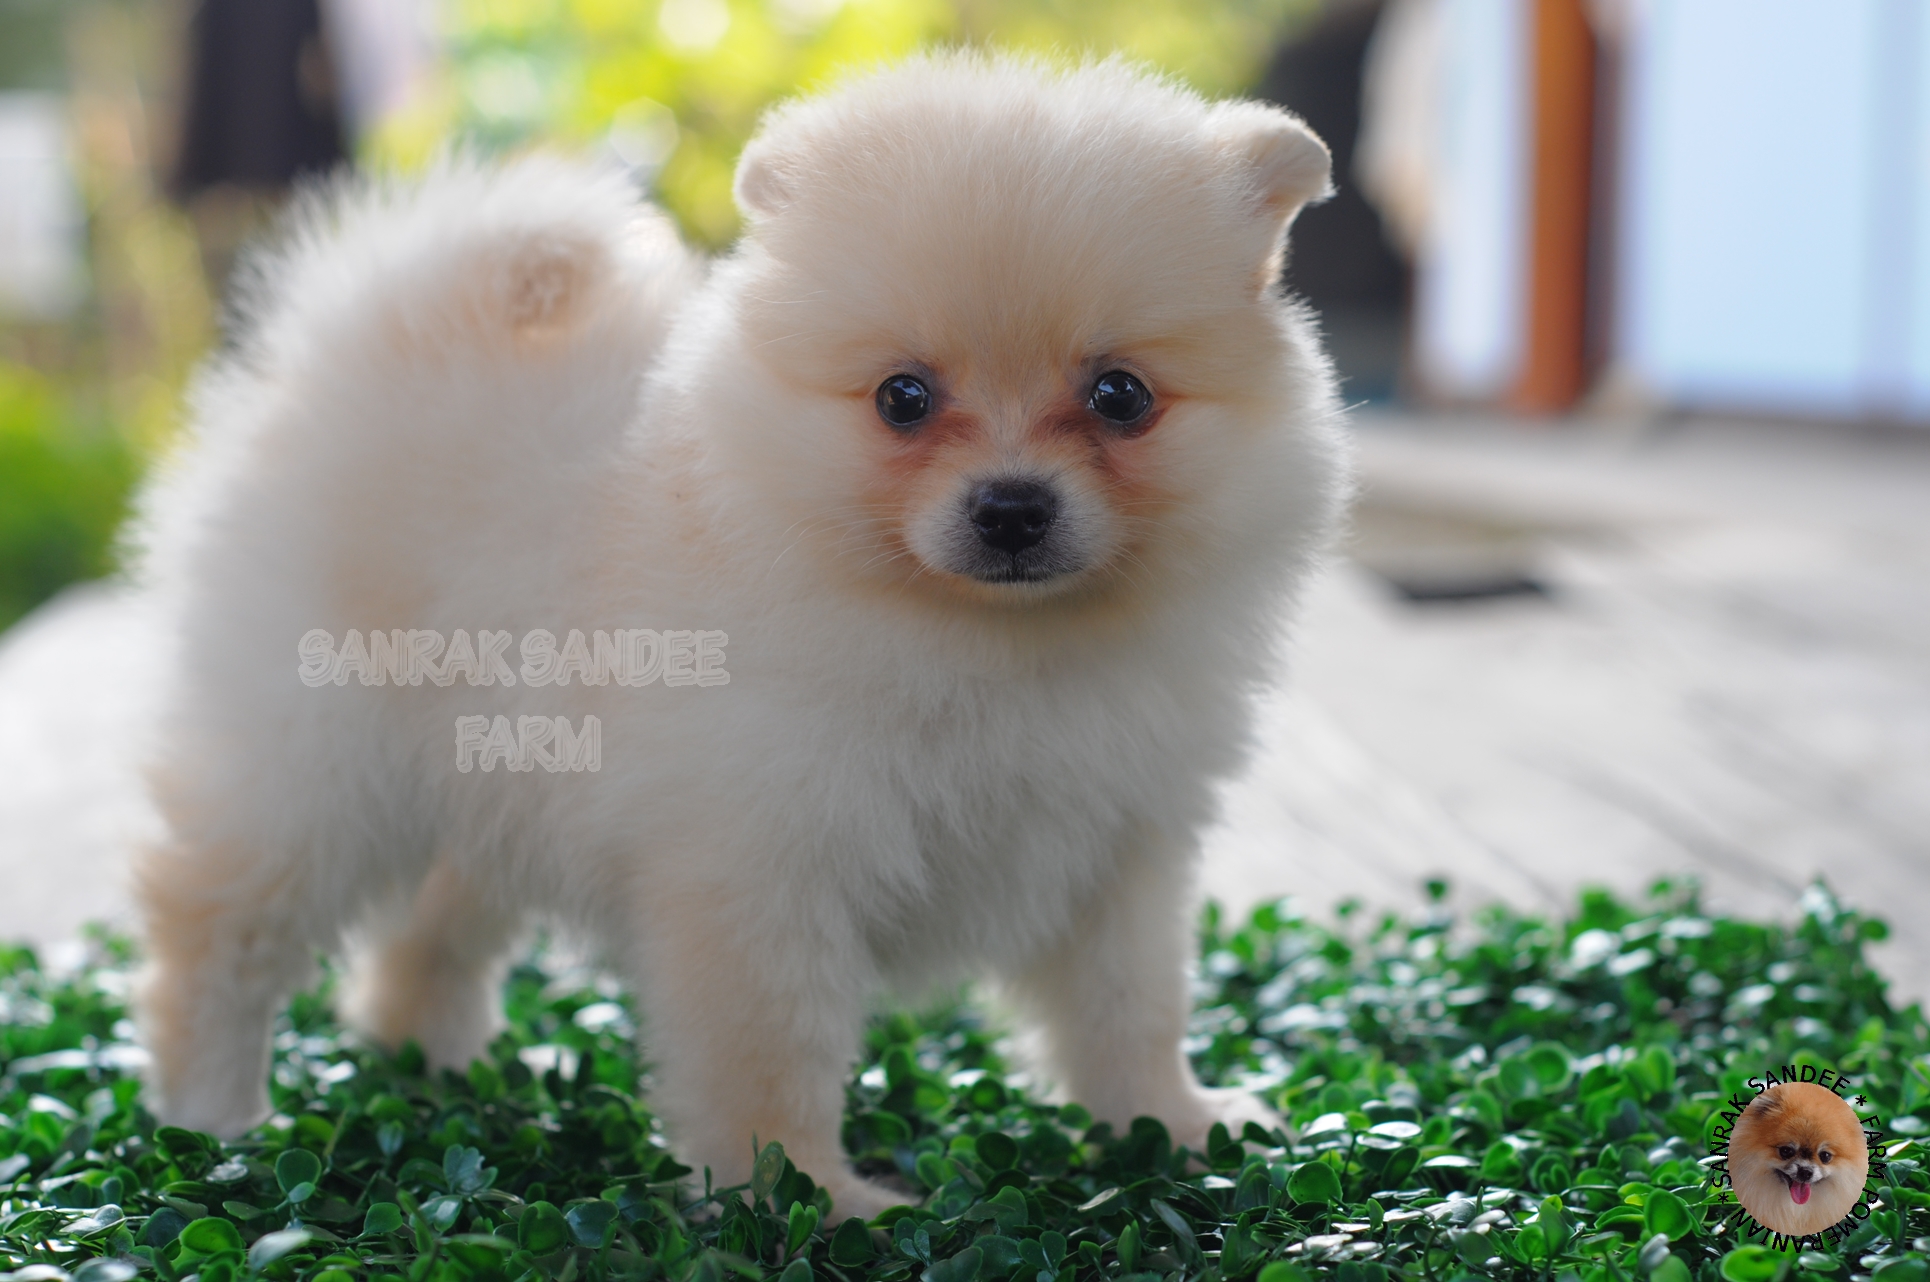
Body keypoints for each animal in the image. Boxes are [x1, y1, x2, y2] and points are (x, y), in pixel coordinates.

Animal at [133, 53, 1348, 1217]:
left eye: (1120, 396)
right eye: (902, 397)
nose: (1011, 507)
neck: (987, 641)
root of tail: (367, 334)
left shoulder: (1118, 845)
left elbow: (1132, 1004)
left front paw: (1173, 1125)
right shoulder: (761, 862)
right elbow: (771, 1051)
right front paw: (808, 1197)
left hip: (494, 777)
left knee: (426, 930)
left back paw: (436, 1070)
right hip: (315, 763)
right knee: (215, 927)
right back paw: (213, 1120)